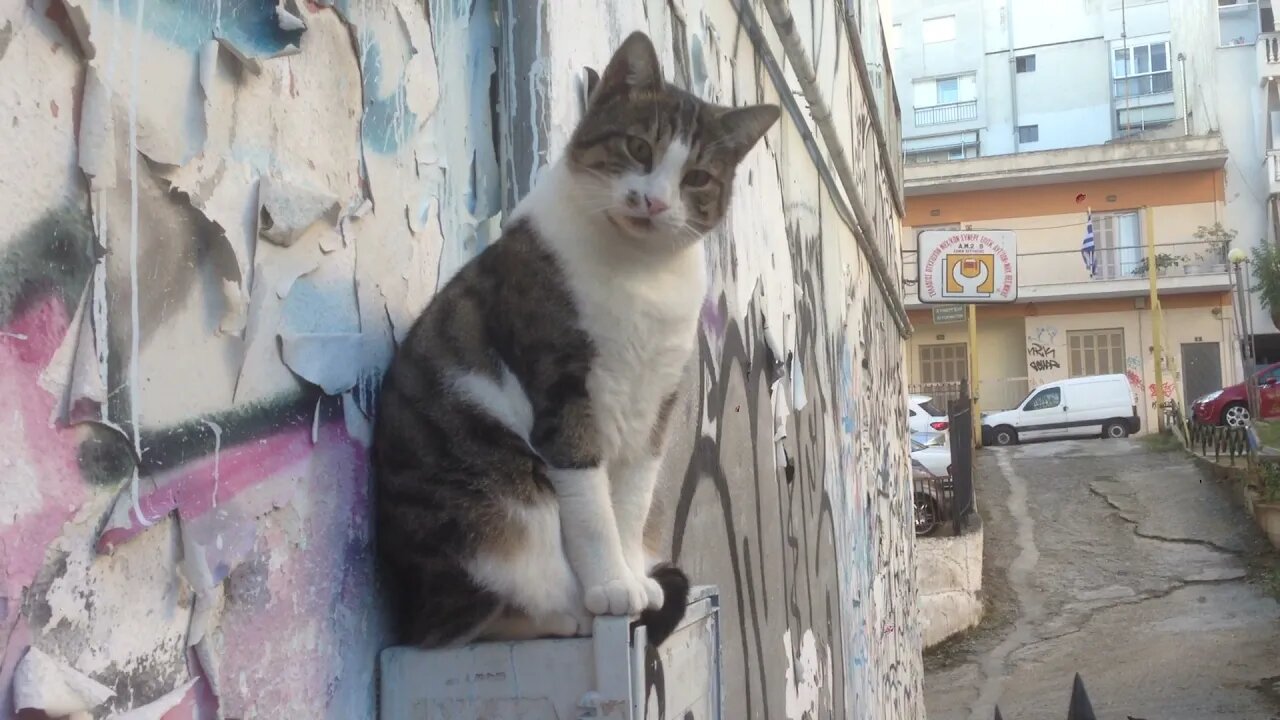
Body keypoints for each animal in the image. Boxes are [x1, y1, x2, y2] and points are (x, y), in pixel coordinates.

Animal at [373, 30, 778, 640]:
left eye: (697, 178)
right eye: (638, 148)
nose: (654, 201)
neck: (640, 274)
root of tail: (413, 614)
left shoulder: (655, 402)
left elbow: (631, 498)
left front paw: (635, 577)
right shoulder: (564, 385)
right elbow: (590, 505)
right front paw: (612, 588)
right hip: (494, 511)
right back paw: (569, 611)